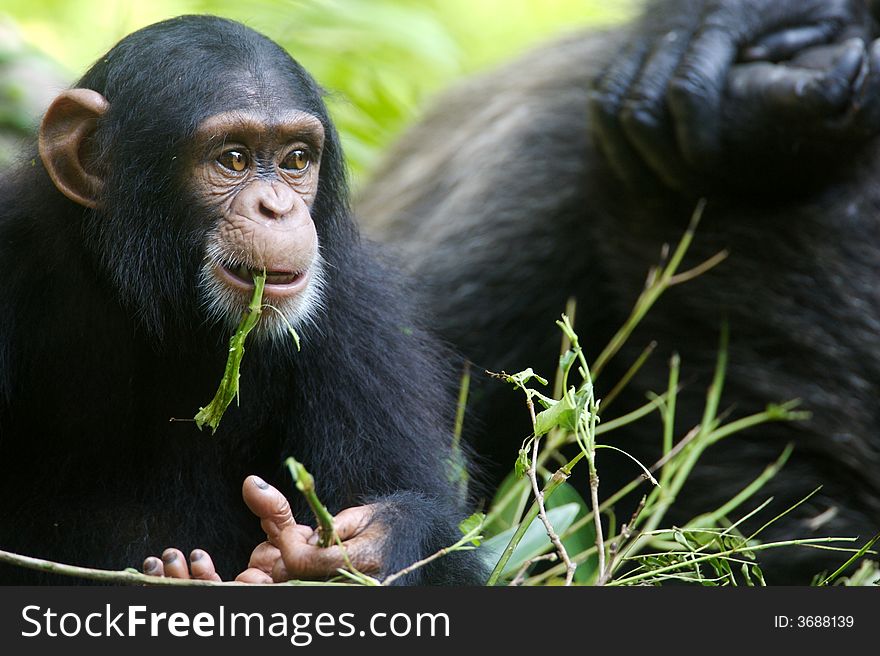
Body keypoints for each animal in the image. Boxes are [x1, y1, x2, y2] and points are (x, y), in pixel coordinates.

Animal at [0, 14, 484, 584]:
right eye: (233, 158)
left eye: (296, 158)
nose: (277, 207)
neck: (153, 305)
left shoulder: (364, 323)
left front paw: (352, 550)